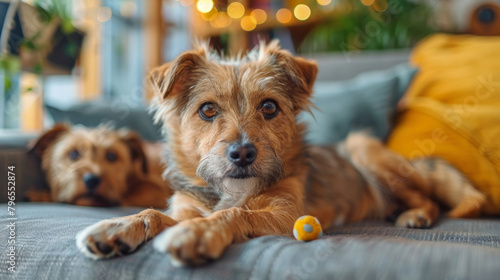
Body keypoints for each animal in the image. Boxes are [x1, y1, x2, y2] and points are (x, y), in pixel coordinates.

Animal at [76, 41, 486, 264]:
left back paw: (415, 215)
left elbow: (233, 215)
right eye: (207, 110)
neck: (233, 189)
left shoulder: (286, 214)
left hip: (367, 153)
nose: (243, 153)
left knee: (428, 198)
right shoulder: (185, 208)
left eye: (270, 107)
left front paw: (199, 235)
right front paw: (119, 226)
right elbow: (155, 214)